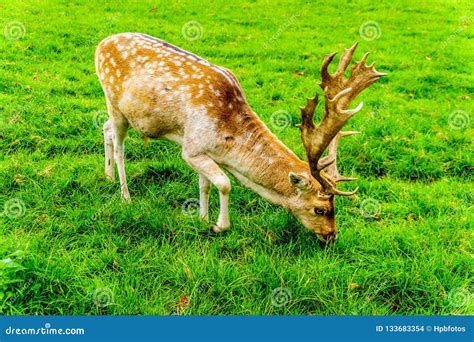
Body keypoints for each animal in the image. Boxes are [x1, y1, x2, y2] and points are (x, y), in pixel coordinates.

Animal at [95, 31, 386, 240]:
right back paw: (125, 196)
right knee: (119, 147)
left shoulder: (201, 152)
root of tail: (100, 44)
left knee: (105, 128)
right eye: (321, 209)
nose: (332, 236)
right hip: (114, 101)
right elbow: (225, 184)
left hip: (120, 112)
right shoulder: (191, 149)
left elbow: (205, 185)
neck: (226, 141)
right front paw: (218, 226)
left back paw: (107, 176)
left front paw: (202, 219)